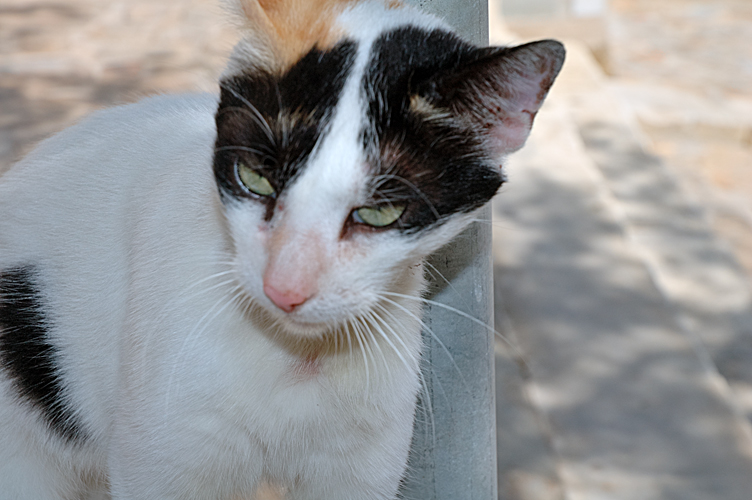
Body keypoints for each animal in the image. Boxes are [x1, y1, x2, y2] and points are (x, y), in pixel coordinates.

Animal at [0, 0, 564, 500]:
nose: (284, 288)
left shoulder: (359, 466)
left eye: (380, 214)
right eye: (256, 179)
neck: (295, 358)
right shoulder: (160, 463)